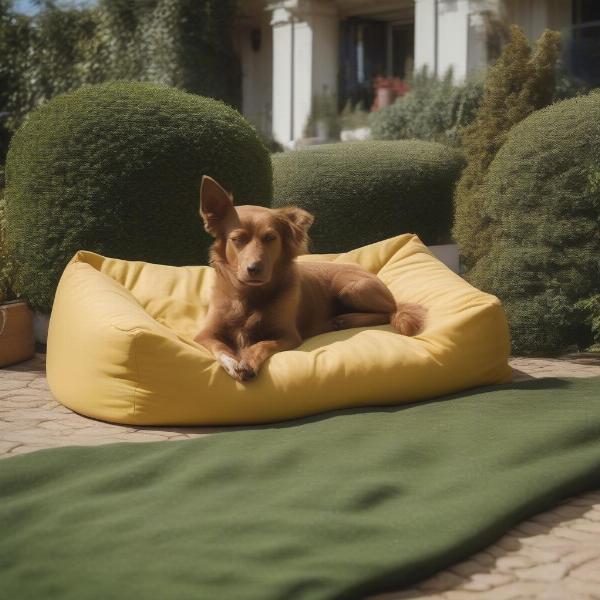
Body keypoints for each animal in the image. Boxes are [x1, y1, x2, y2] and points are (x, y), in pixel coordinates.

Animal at [195, 176, 424, 382]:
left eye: (270, 238)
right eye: (237, 239)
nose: (254, 269)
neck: (250, 295)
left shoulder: (289, 336)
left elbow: (262, 344)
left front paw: (248, 361)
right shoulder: (205, 334)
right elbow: (221, 348)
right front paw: (233, 362)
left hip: (352, 289)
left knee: (390, 311)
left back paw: (346, 319)